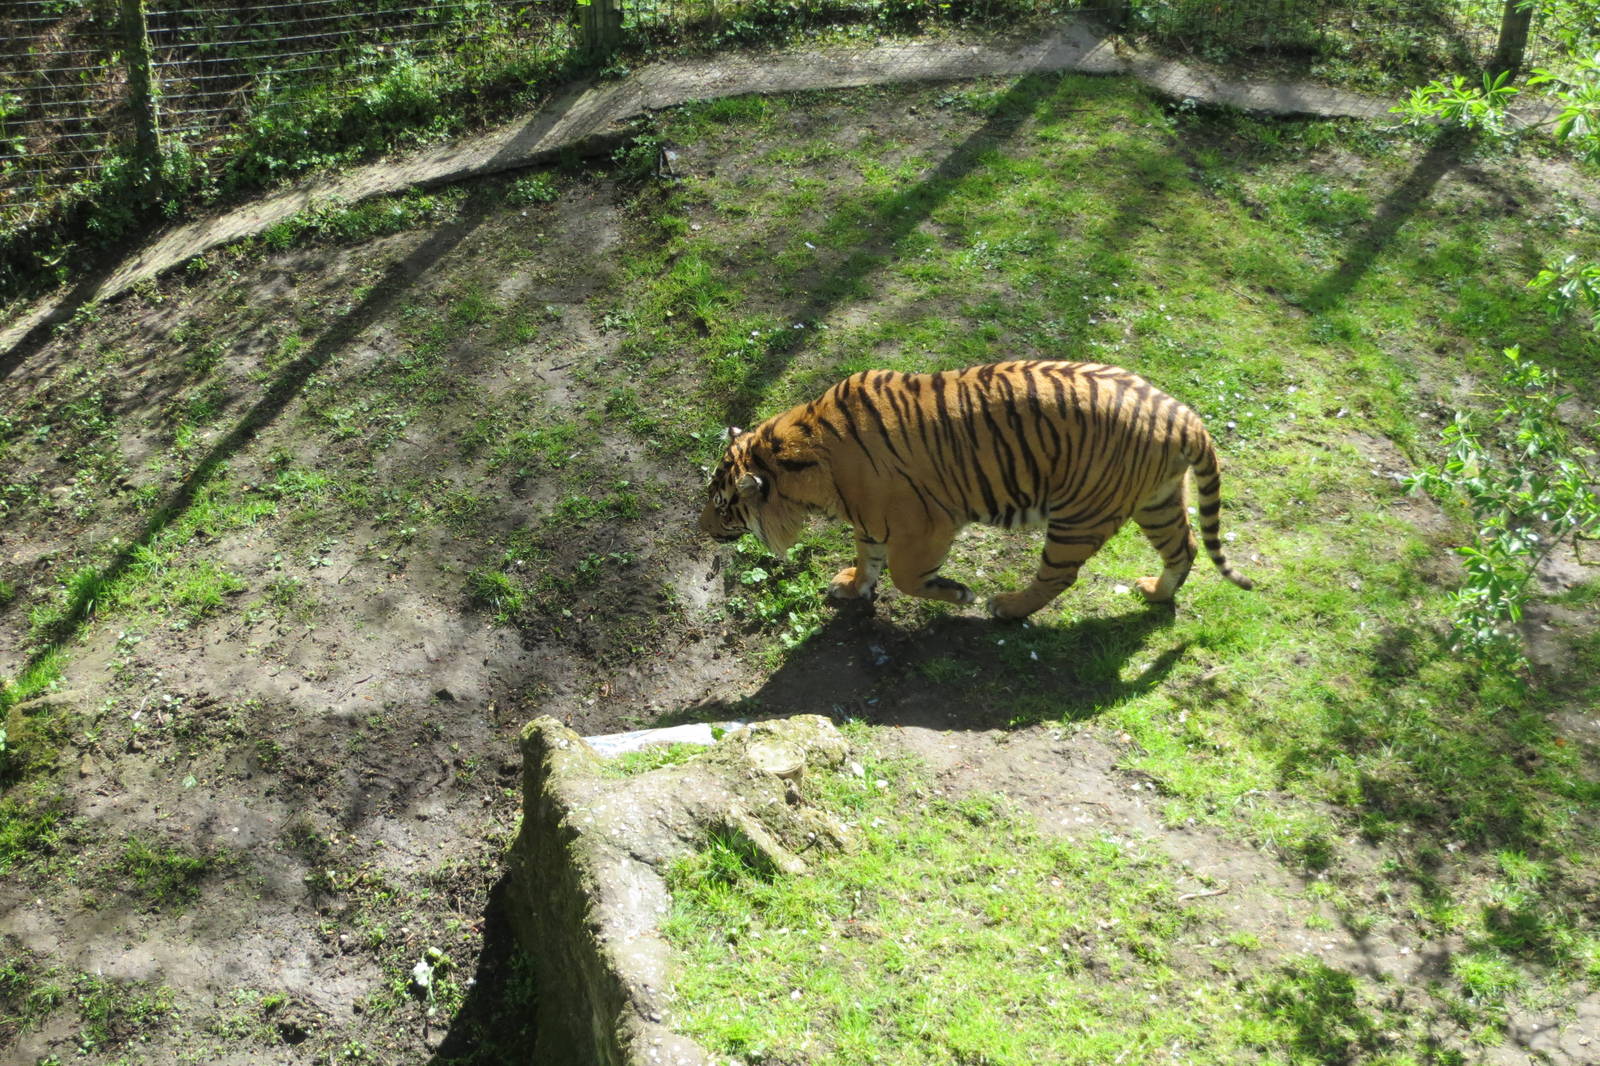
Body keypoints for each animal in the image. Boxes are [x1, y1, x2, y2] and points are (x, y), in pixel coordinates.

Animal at [698, 360, 1253, 619]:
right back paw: (1155, 593)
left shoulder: (928, 524)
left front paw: (957, 593)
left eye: (723, 507)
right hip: (1156, 501)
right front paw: (853, 586)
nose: (700, 528)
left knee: (1059, 575)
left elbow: (905, 576)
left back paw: (1006, 607)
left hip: (1080, 516)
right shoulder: (871, 521)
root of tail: (1183, 416)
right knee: (1184, 548)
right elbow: (869, 559)